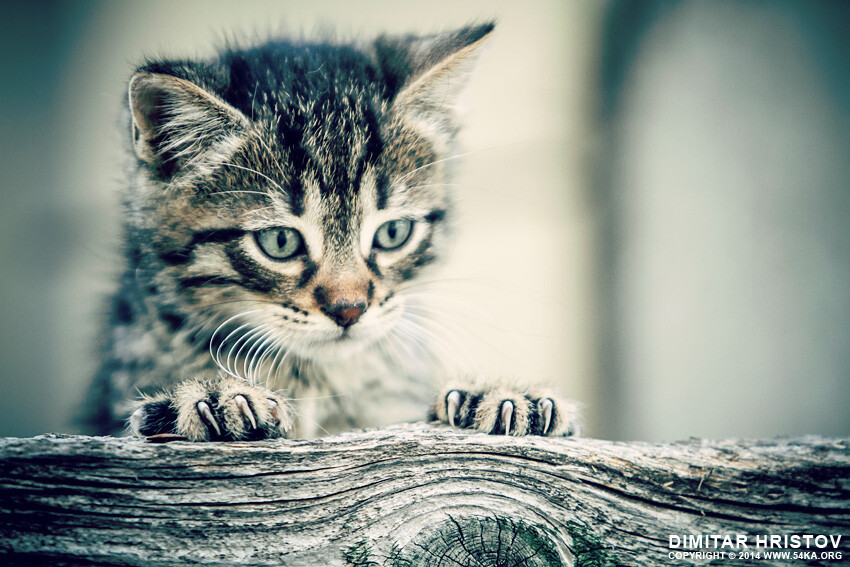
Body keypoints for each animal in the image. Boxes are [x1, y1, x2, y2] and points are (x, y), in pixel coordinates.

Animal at [83, 23, 580, 444]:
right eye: (280, 242)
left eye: (393, 232)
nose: (350, 309)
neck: (316, 379)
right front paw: (210, 399)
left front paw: (498, 396)